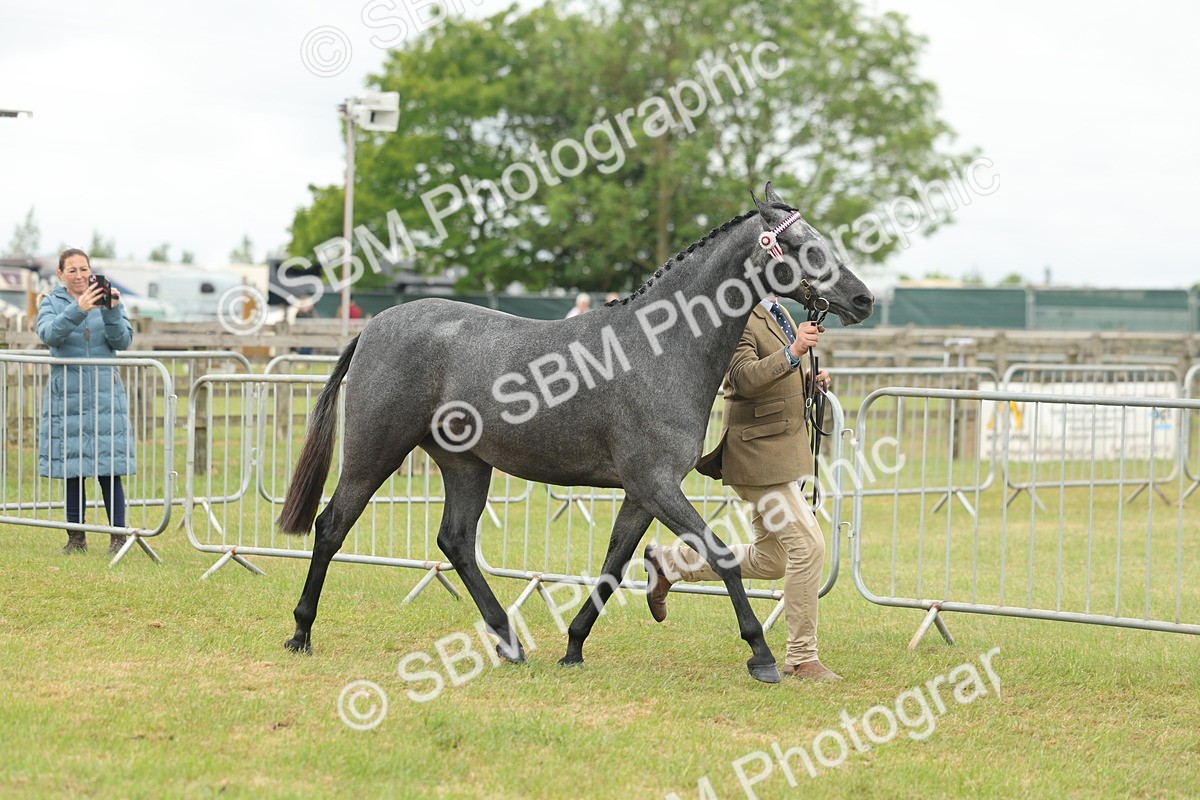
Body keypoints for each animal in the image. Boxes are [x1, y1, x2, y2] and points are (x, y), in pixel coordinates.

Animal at [278, 183, 874, 683]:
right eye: (800, 244)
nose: (863, 299)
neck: (661, 346)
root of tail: (373, 327)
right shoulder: (657, 483)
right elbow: (721, 554)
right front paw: (762, 655)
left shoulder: (642, 492)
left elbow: (614, 564)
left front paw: (573, 646)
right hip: (375, 451)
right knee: (332, 526)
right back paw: (301, 631)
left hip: (465, 463)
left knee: (456, 541)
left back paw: (509, 642)